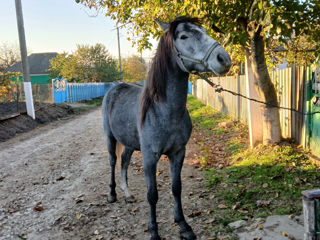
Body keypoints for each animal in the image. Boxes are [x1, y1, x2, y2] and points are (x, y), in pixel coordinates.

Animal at [102, 15, 230, 239]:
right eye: (184, 36)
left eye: (204, 31)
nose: (223, 59)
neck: (164, 110)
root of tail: (114, 88)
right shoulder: (150, 157)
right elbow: (152, 194)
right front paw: (154, 231)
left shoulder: (178, 152)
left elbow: (176, 188)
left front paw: (184, 226)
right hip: (110, 138)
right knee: (112, 161)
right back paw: (112, 194)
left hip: (129, 144)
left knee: (124, 161)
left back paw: (128, 194)